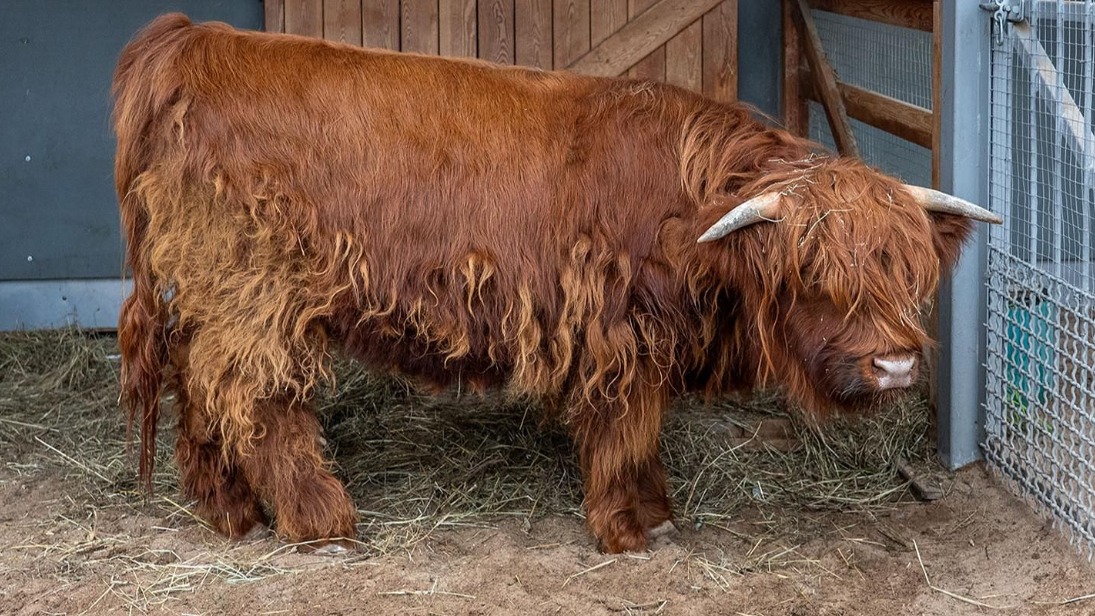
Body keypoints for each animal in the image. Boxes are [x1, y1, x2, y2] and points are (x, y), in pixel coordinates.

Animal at [113, 13, 1000, 554]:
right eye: (811, 273)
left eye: (907, 272)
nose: (895, 365)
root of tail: (196, 40)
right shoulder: (617, 334)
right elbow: (624, 429)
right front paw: (629, 526)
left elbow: (639, 433)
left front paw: (653, 511)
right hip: (256, 295)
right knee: (253, 397)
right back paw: (318, 519)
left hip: (213, 295)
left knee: (199, 386)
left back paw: (227, 510)